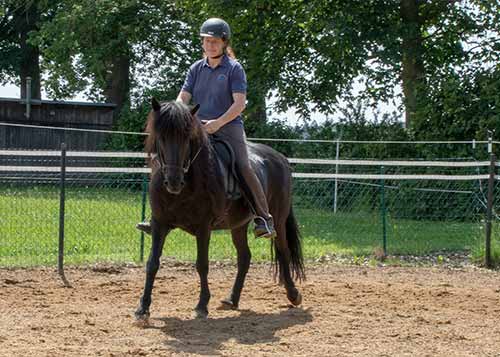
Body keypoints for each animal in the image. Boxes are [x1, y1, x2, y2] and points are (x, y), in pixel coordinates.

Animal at [134, 98, 304, 322]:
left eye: (187, 138)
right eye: (161, 137)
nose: (173, 181)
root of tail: (281, 159)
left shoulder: (203, 227)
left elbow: (202, 264)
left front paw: (202, 305)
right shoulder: (159, 223)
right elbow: (152, 263)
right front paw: (143, 308)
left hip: (279, 218)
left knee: (283, 250)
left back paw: (293, 294)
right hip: (238, 225)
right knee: (244, 258)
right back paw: (232, 299)